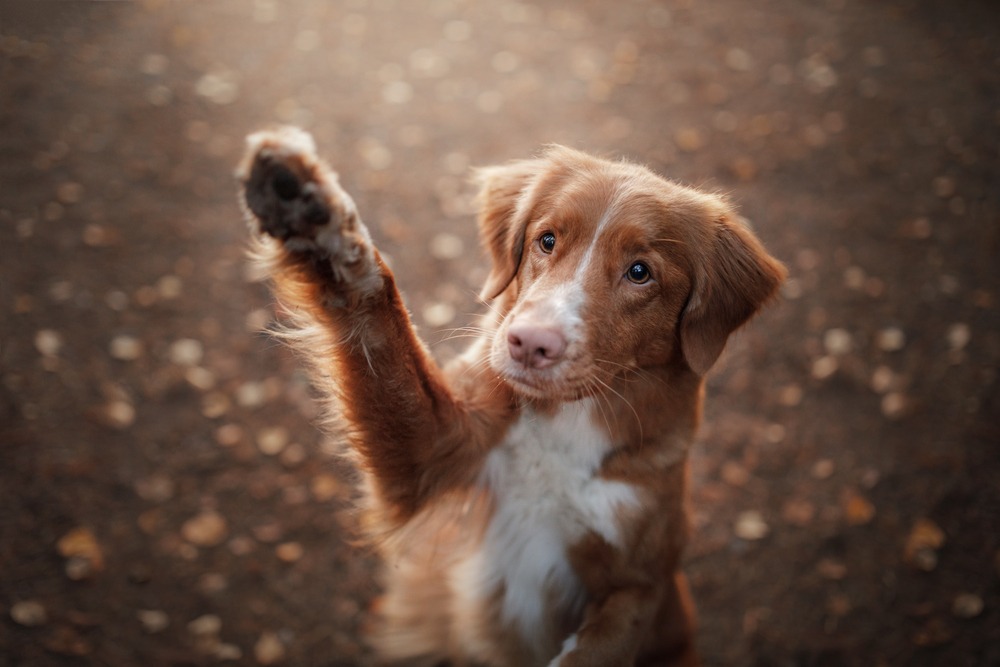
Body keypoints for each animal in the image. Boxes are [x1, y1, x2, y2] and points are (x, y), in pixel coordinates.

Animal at [238, 126, 784, 667]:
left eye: (639, 272)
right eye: (547, 240)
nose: (529, 343)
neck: (567, 428)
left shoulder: (641, 584)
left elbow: (596, 648)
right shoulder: (439, 449)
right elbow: (380, 325)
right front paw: (312, 213)